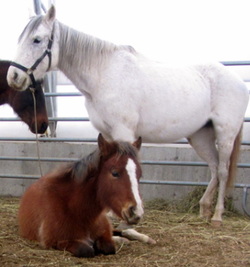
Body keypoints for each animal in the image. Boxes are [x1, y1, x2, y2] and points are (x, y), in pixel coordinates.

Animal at [6, 5, 249, 226]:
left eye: (37, 40)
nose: (13, 77)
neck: (103, 74)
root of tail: (238, 81)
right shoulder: (106, 133)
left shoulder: (123, 131)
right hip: (200, 136)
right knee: (214, 168)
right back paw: (204, 209)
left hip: (225, 136)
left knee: (223, 171)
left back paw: (217, 215)